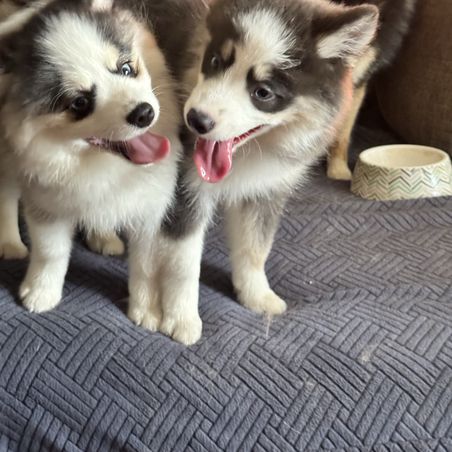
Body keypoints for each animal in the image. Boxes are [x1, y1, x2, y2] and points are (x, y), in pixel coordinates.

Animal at [0, 0, 181, 320]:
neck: (99, 164)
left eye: (126, 68)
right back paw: (9, 241)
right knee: (7, 191)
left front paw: (146, 309)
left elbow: (146, 263)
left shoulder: (150, 208)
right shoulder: (46, 198)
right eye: (80, 103)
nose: (144, 113)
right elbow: (51, 251)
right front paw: (41, 292)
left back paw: (103, 236)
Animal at [123, 0, 416, 345]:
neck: (251, 150)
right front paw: (181, 319)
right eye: (215, 61)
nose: (195, 120)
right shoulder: (185, 190)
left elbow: (255, 248)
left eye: (263, 93)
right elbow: (182, 261)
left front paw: (257, 296)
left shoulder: (266, 190)